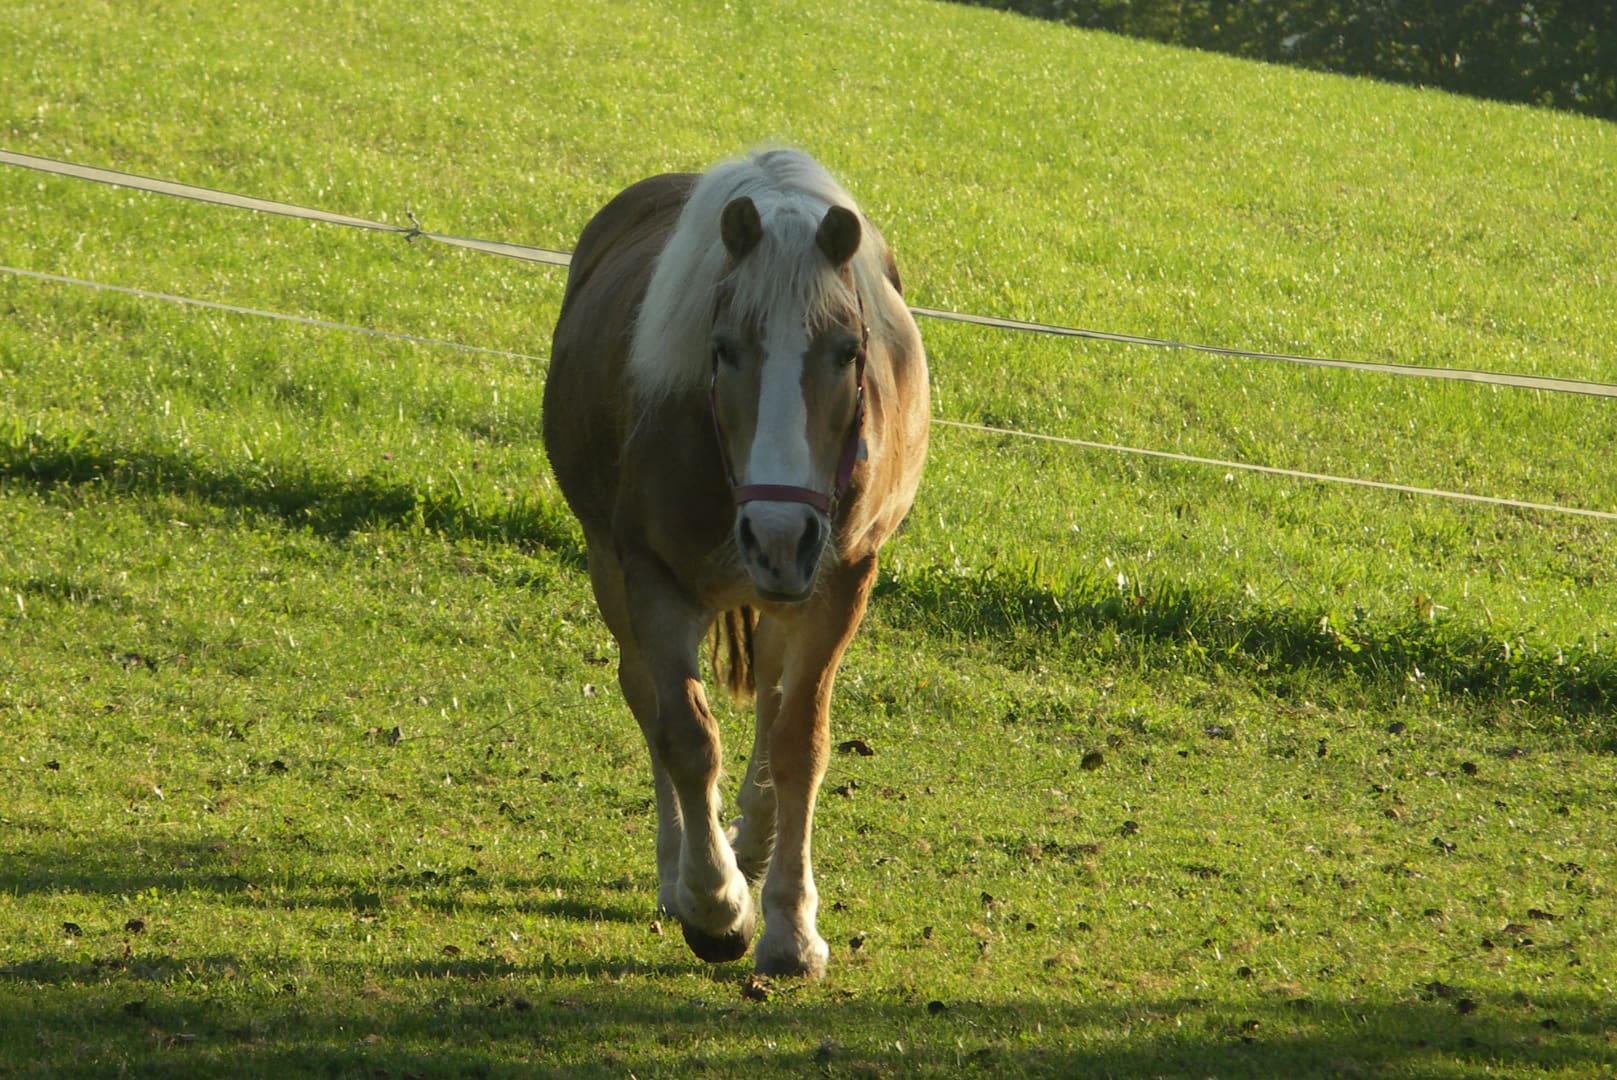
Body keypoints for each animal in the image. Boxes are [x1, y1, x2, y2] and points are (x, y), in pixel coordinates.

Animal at [543, 148, 929, 977]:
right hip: (613, 569)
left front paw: (790, 925)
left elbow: (798, 742)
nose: (779, 535)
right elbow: (685, 736)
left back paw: (752, 841)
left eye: (848, 352)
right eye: (721, 349)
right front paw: (715, 905)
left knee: (770, 705)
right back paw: (683, 872)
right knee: (646, 699)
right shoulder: (652, 580)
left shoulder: (839, 582)